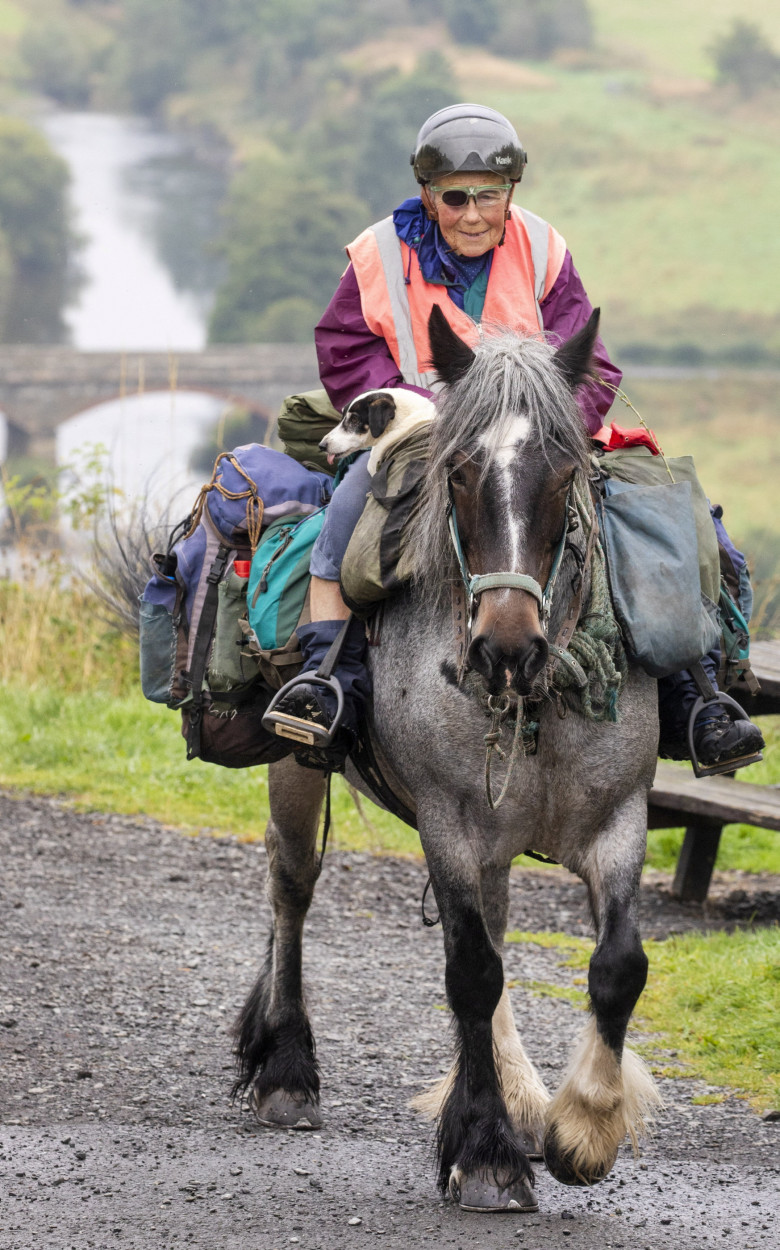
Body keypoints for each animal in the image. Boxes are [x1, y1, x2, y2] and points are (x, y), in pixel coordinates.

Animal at [235, 307, 660, 1215]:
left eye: (564, 473)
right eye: (460, 475)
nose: (505, 647)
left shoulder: (619, 817)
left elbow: (617, 967)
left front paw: (582, 1130)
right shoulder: (449, 824)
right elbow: (470, 975)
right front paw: (487, 1155)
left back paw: (524, 1100)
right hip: (298, 770)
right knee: (291, 887)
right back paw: (287, 1071)